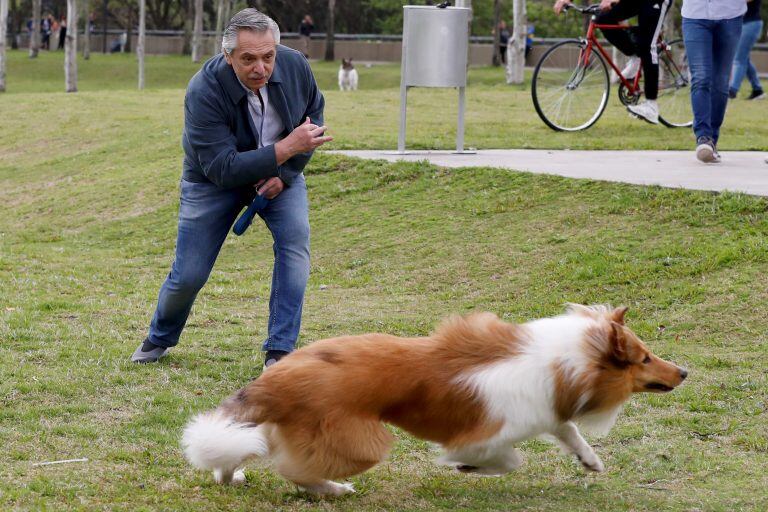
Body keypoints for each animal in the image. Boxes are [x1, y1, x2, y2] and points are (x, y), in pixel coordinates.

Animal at [184, 304, 688, 496]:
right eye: (644, 358)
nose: (684, 372)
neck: (565, 359)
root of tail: (276, 379)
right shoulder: (489, 434)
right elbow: (509, 461)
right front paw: (464, 467)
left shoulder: (550, 411)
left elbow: (570, 430)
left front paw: (591, 461)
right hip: (362, 444)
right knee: (295, 471)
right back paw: (333, 489)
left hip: (273, 430)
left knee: (237, 449)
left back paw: (230, 477)